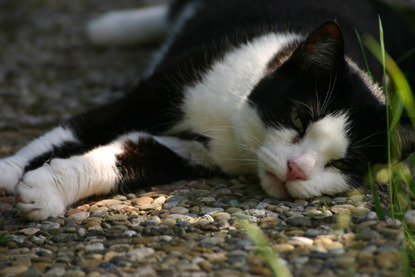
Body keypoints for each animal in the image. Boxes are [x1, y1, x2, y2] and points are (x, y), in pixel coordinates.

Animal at [0, 0, 415, 220]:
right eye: (299, 118)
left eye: (342, 164)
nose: (298, 170)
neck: (232, 122)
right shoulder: (152, 94)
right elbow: (75, 131)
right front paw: (9, 171)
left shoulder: (194, 153)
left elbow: (125, 153)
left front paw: (46, 189)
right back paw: (109, 27)